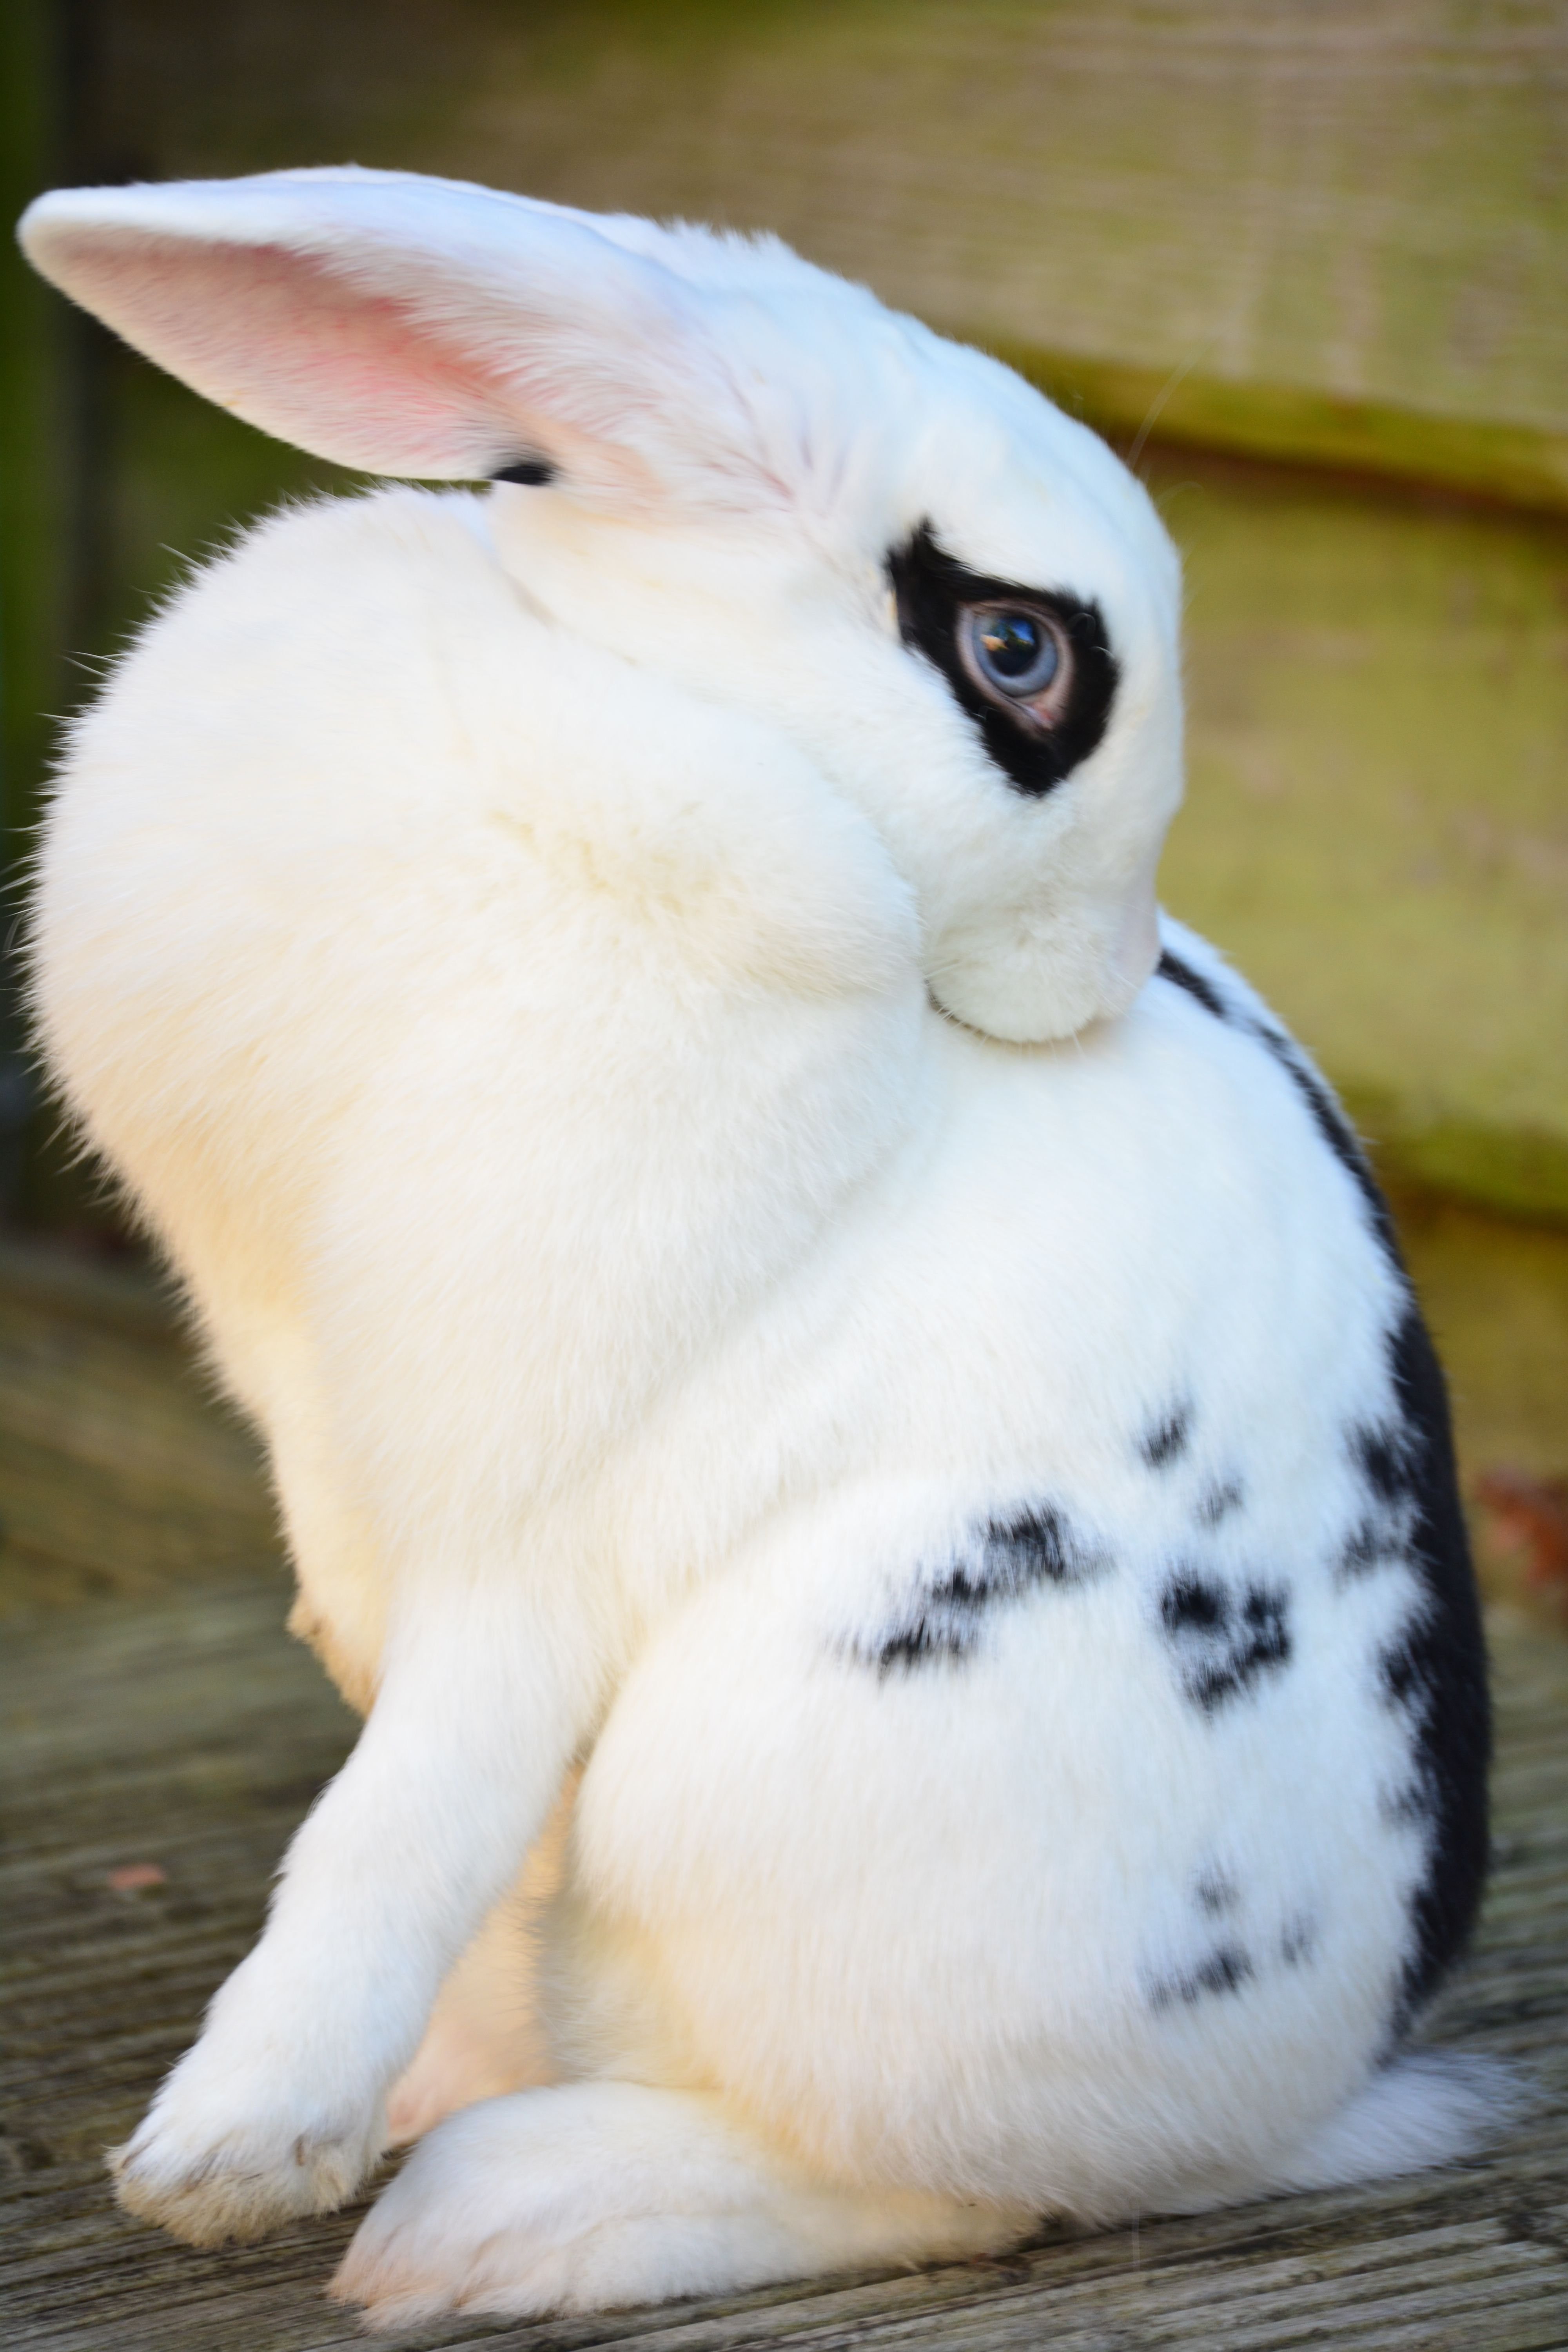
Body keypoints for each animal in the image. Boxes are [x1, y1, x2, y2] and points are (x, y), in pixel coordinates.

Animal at [21, 174, 1495, 2324]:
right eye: (1015, 650)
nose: (1105, 980)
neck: (651, 700)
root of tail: (1307, 2094)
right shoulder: (345, 1459)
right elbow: (423, 1791)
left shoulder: (537, 1516)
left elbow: (400, 1817)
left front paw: (226, 2152)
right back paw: (468, 2100)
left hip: (775, 1776)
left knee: (955, 2192)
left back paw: (499, 2220)